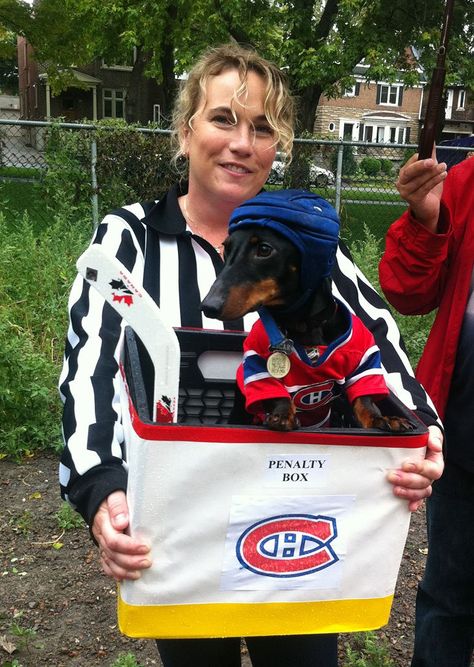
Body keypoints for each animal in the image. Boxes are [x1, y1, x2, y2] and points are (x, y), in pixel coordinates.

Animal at [202, 190, 412, 436]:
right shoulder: (256, 360)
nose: (208, 306)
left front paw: (383, 419)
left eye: (264, 249)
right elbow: (276, 393)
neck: (305, 326)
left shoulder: (364, 360)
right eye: (227, 247)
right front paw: (283, 414)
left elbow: (365, 401)